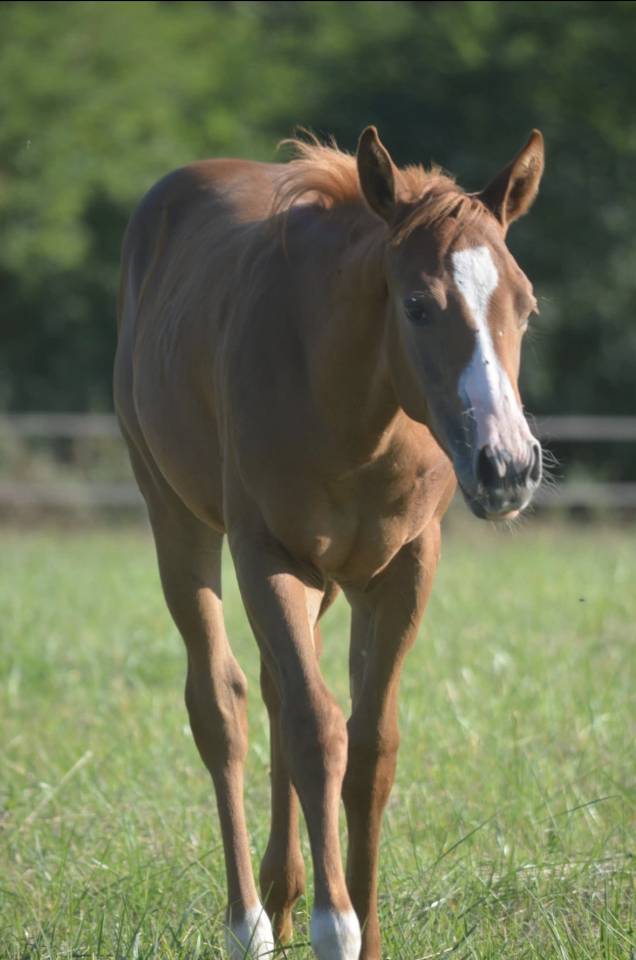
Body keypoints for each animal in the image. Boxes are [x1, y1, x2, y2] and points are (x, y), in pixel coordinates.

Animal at [114, 125, 544, 960]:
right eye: (417, 305)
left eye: (526, 306)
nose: (506, 466)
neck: (351, 402)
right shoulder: (268, 554)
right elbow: (317, 733)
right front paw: (333, 925)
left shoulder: (403, 566)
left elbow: (370, 746)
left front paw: (361, 930)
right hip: (177, 519)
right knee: (223, 706)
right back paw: (251, 921)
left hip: (327, 577)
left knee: (278, 694)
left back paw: (281, 896)